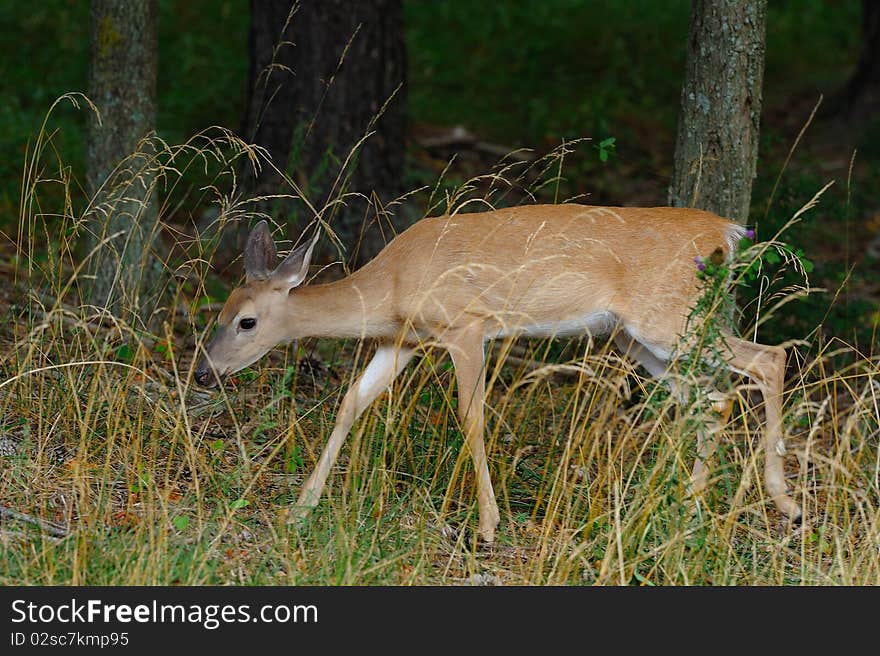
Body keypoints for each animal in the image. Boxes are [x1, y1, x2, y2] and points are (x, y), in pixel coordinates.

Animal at [196, 205, 800, 544]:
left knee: (767, 359)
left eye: (247, 321)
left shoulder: (467, 325)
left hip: (668, 317)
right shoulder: (402, 339)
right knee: (713, 399)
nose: (203, 373)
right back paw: (688, 511)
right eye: (219, 311)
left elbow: (472, 417)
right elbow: (351, 403)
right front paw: (301, 508)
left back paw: (784, 501)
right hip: (640, 337)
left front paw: (487, 526)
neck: (392, 285)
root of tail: (723, 232)